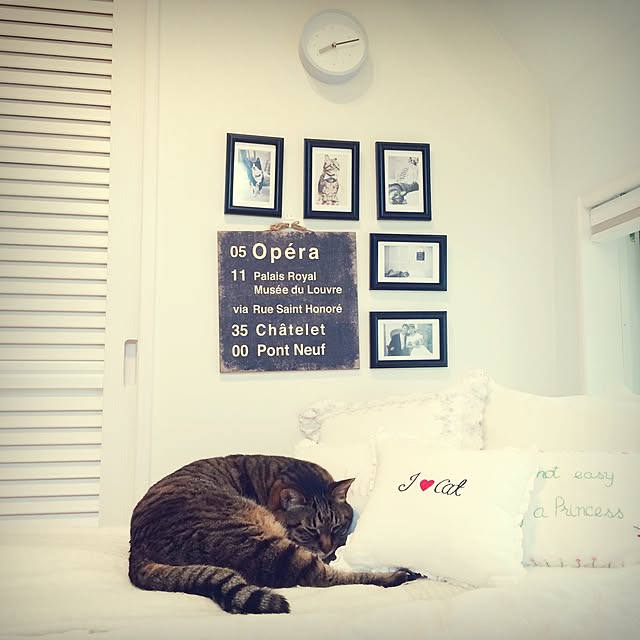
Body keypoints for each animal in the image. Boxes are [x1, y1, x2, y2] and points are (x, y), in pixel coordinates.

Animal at [129, 454, 419, 614]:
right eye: (309, 529)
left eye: (336, 526)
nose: (327, 547)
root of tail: (137, 550)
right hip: (261, 542)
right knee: (321, 577)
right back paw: (397, 576)